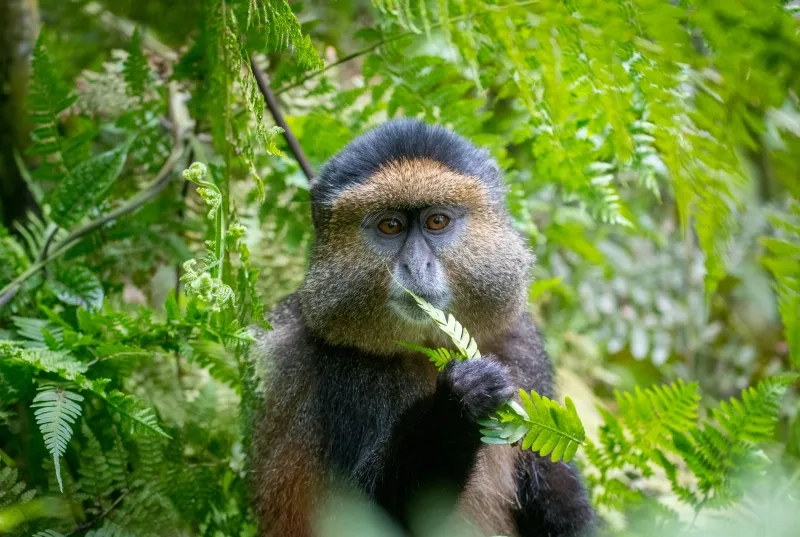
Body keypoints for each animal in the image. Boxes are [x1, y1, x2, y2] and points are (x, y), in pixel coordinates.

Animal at [249, 118, 594, 537]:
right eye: (390, 226)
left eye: (436, 221)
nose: (415, 265)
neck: (426, 347)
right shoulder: (343, 374)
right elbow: (367, 518)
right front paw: (460, 400)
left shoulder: (522, 344)